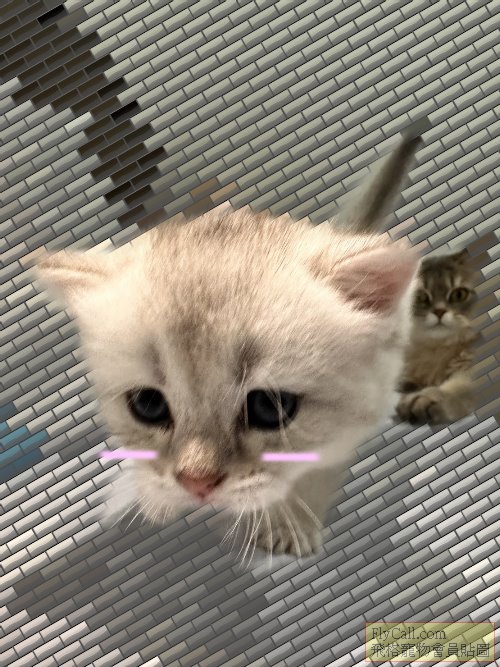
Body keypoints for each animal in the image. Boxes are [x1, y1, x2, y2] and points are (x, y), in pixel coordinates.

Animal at [34, 133, 422, 559]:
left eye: (270, 406)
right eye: (148, 405)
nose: (196, 484)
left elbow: (314, 471)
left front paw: (289, 521)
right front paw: (154, 495)